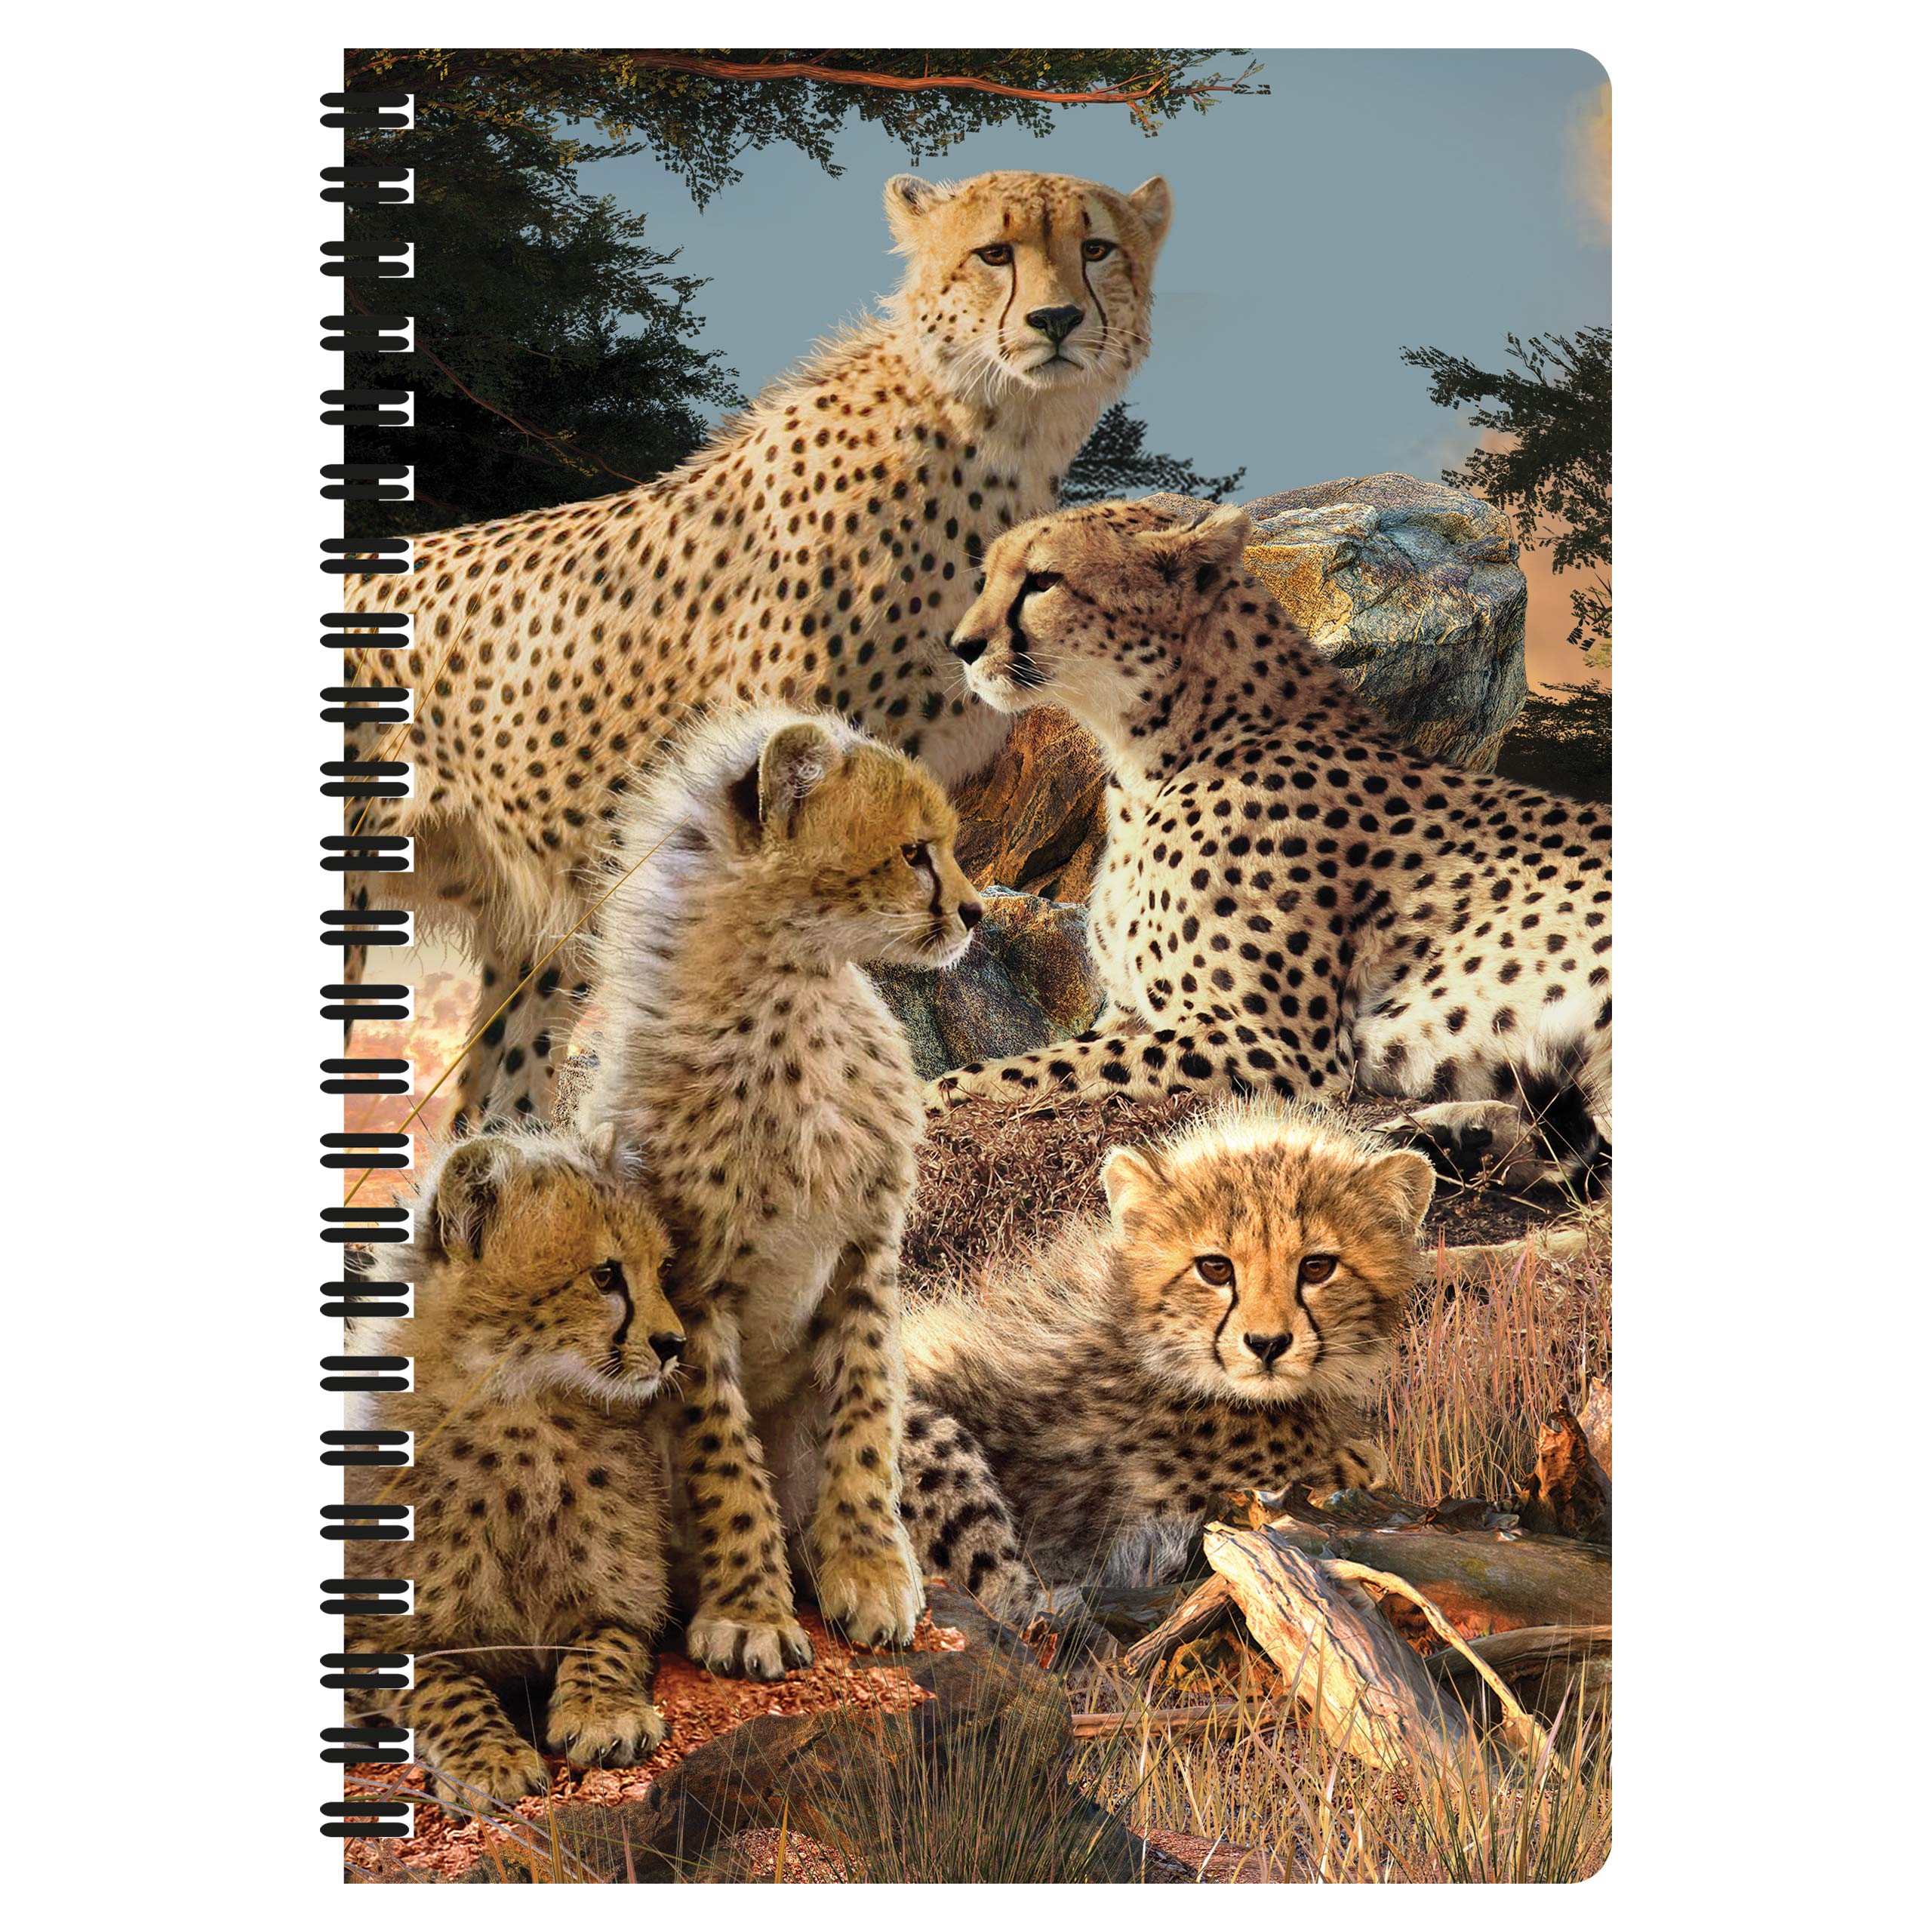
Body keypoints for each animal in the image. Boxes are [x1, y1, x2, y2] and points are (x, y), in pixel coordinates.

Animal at [340, 1126, 687, 1813]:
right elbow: (439, 1680)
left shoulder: (625, 1603)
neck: (524, 1415)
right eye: (604, 1275)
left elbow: (606, 1640)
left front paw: (604, 1712)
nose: (675, 1344)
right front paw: (488, 1759)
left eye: (662, 1271)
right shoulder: (364, 1636)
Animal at [576, 704, 984, 1679]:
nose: (975, 911)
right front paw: (750, 1612)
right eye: (914, 852)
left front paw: (871, 1573)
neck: (794, 993)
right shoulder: (688, 1290)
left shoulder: (867, 1255)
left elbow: (866, 1417)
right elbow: (723, 1450)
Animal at [929, 498, 1613, 1185]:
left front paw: (941, 1092)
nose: (961, 646)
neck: (1157, 750)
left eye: (1043, 580)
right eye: (987, 577)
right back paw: (1458, 1137)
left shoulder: (1286, 1049)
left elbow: (1023, 1069)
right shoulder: (1130, 1014)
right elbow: (1060, 1051)